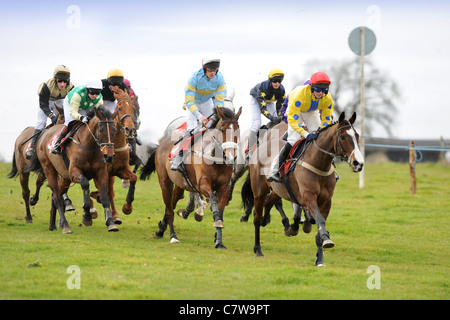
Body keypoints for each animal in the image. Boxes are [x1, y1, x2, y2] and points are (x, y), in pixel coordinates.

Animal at [34, 106, 118, 234]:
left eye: (114, 130)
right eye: (100, 130)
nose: (109, 156)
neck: (89, 147)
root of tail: (44, 133)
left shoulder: (101, 173)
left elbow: (104, 196)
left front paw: (111, 223)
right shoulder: (74, 172)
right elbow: (85, 184)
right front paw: (87, 216)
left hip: (64, 178)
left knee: (55, 196)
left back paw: (52, 225)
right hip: (49, 169)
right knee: (57, 197)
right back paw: (66, 226)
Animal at [89, 89, 136, 224]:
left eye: (133, 108)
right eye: (119, 108)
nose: (130, 129)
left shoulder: (119, 169)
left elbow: (133, 178)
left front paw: (126, 208)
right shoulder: (103, 172)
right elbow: (107, 191)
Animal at [142, 106, 243, 249]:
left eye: (237, 130)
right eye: (223, 129)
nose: (230, 158)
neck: (214, 158)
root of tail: (162, 143)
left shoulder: (224, 187)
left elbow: (221, 210)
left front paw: (219, 240)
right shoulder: (202, 184)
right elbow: (213, 199)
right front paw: (214, 220)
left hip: (179, 184)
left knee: (171, 205)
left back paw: (161, 229)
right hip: (165, 183)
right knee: (169, 209)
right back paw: (173, 236)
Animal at [241, 111, 364, 266]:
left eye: (357, 136)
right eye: (342, 137)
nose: (358, 163)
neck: (319, 164)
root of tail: (261, 146)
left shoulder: (326, 201)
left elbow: (318, 223)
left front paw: (320, 258)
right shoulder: (308, 196)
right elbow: (319, 220)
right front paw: (326, 239)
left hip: (278, 190)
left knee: (269, 201)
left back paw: (271, 221)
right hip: (259, 191)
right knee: (257, 218)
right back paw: (258, 248)